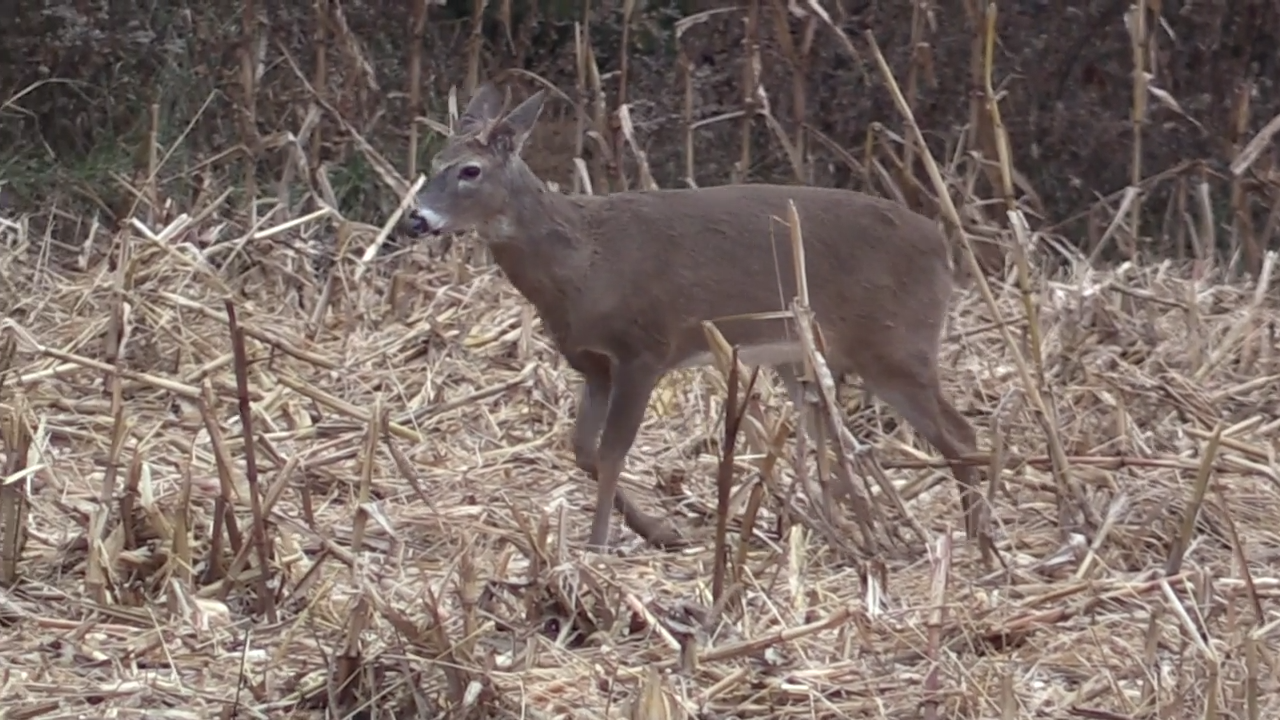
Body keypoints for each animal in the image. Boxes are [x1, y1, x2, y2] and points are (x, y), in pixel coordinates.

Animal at [402, 82, 981, 552]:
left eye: (470, 171)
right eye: (436, 159)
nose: (416, 219)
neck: (585, 263)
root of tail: (943, 247)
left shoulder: (647, 348)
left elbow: (612, 451)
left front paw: (598, 543)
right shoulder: (593, 362)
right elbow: (583, 449)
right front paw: (659, 530)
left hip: (895, 342)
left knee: (960, 434)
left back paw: (976, 538)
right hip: (822, 354)